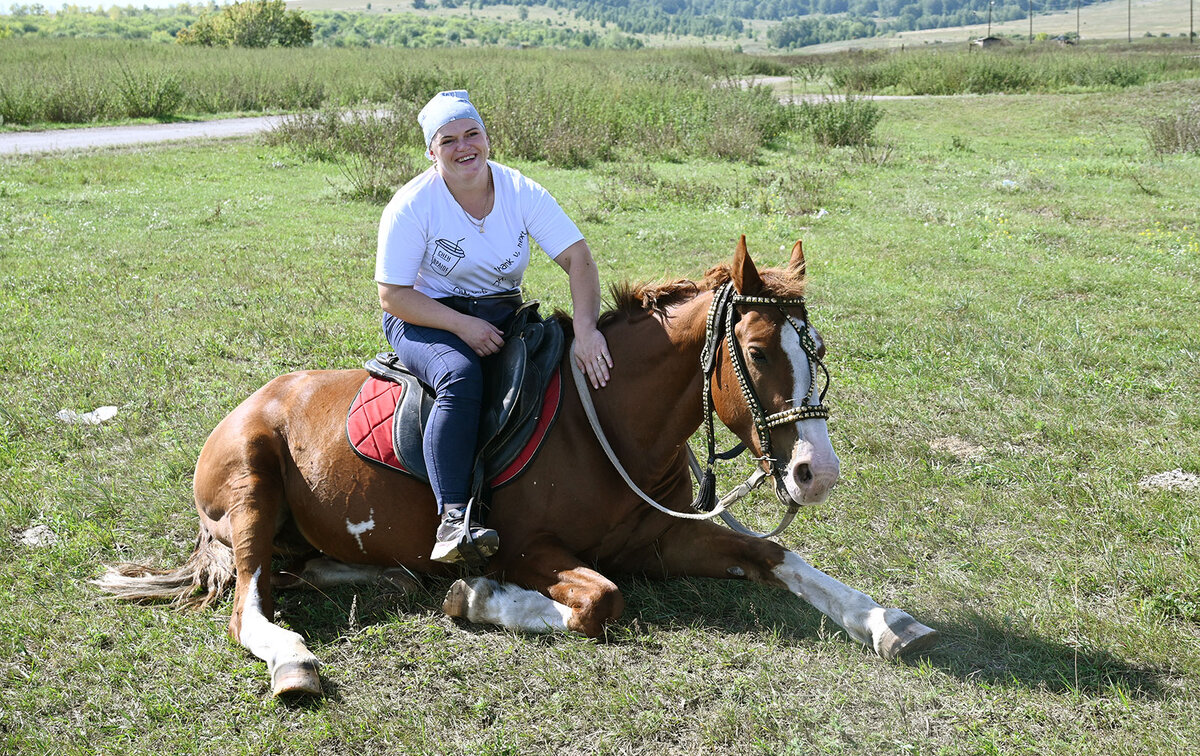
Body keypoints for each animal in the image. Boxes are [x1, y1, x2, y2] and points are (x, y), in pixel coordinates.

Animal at [96, 237, 936, 700]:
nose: (816, 471)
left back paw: (388, 577)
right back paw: (298, 660)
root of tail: (246, 406)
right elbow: (600, 603)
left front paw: (887, 622)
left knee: (301, 571)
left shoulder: (661, 537)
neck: (607, 425)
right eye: (758, 353)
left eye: (816, 350)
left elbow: (777, 556)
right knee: (250, 602)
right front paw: (475, 596)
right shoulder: (533, 549)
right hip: (252, 484)